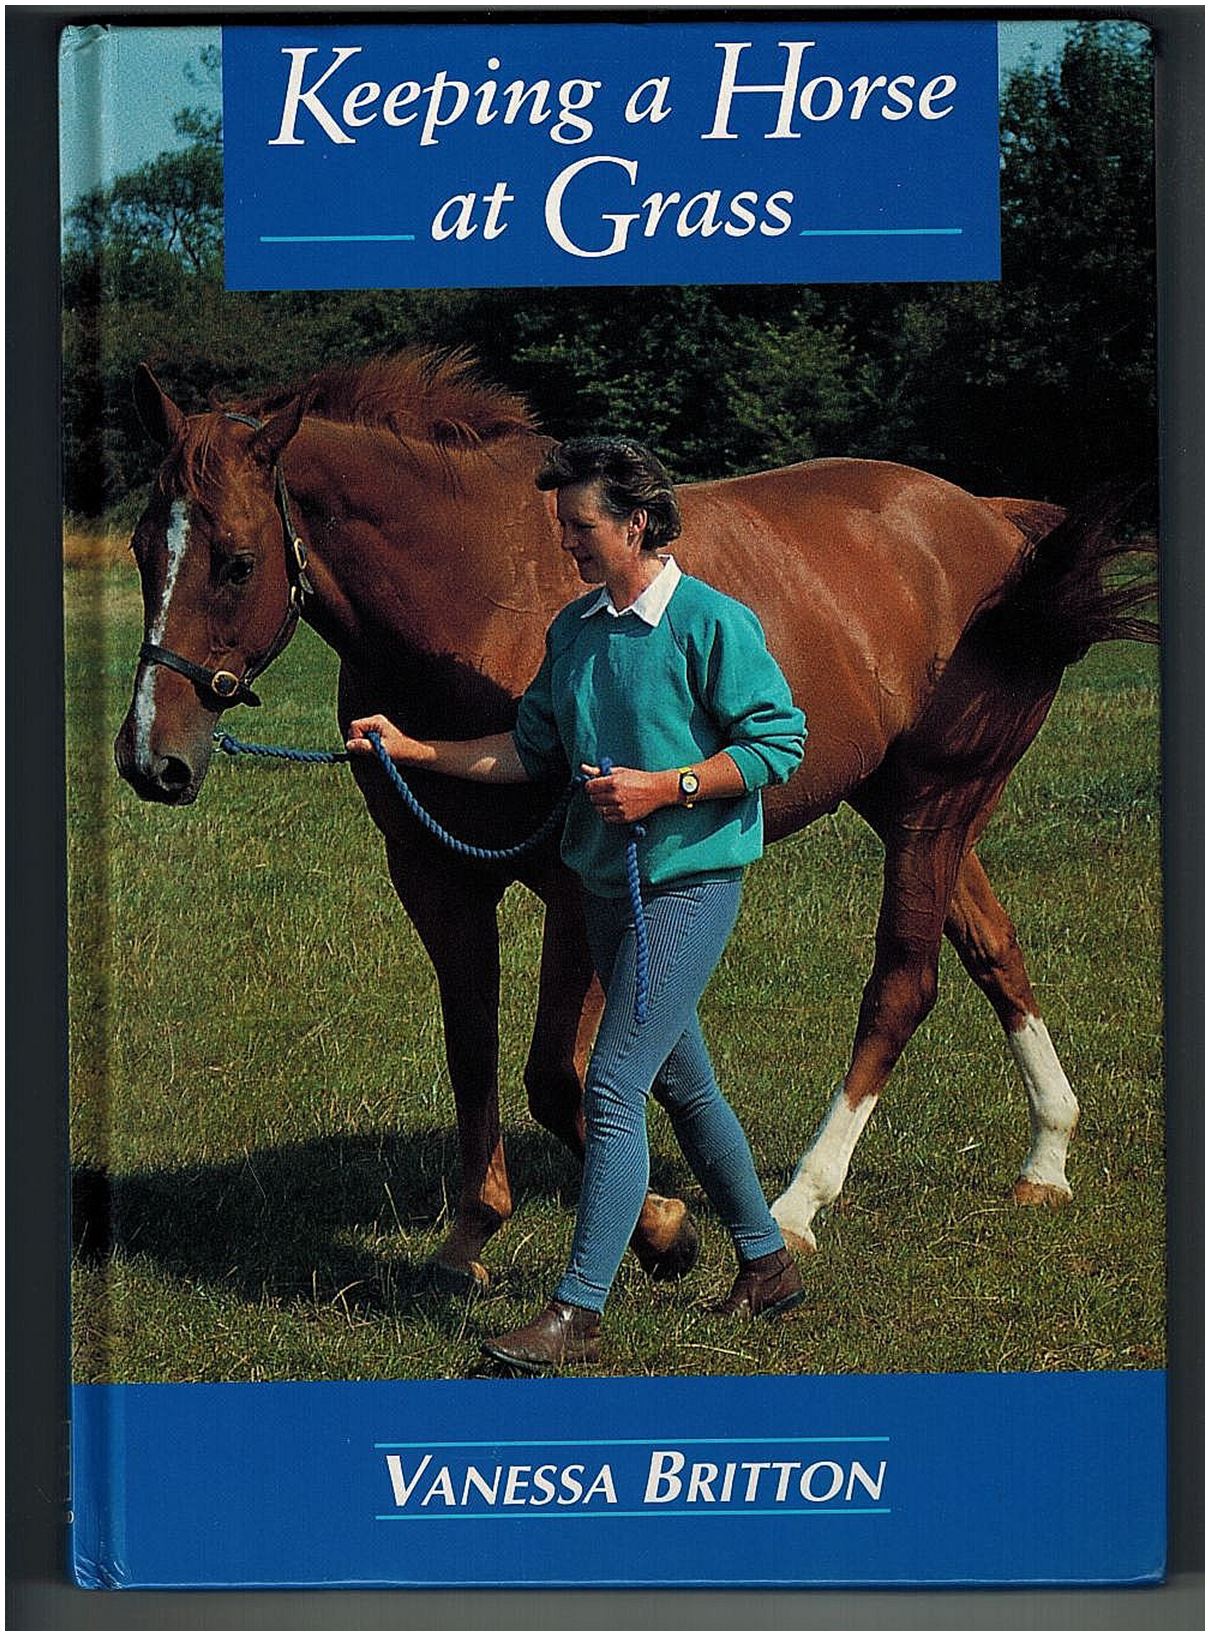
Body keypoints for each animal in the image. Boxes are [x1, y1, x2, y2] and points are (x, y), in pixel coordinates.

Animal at [114, 350, 1156, 1293]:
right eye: (140, 549)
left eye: (238, 562)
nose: (150, 759)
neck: (476, 595)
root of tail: (995, 527)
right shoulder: (437, 877)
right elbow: (471, 1048)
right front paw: (471, 1234)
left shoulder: (579, 884)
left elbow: (554, 1074)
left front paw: (663, 1227)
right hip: (913, 810)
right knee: (996, 952)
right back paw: (1046, 1158)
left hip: (933, 809)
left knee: (903, 985)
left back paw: (799, 1203)